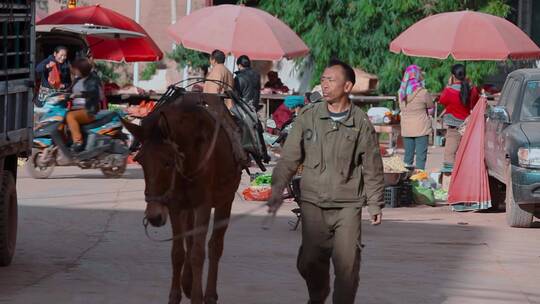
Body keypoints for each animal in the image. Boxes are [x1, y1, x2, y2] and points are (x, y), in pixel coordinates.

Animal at [124, 92, 243, 304]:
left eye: (168, 162)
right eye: (140, 161)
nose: (153, 216)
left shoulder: (203, 204)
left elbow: (198, 253)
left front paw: (197, 296)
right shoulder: (175, 205)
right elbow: (178, 252)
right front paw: (175, 295)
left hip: (225, 201)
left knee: (214, 246)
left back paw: (209, 294)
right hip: (188, 208)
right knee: (190, 239)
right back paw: (187, 282)